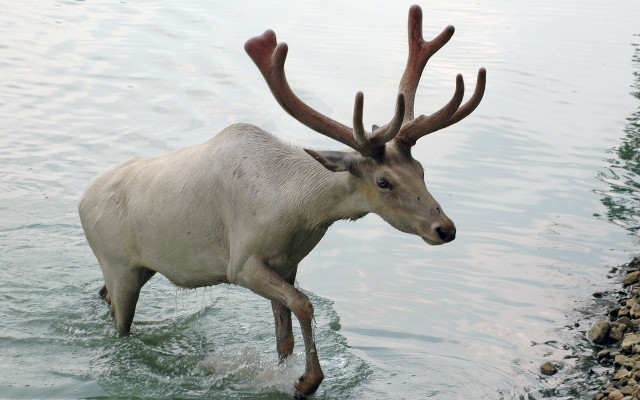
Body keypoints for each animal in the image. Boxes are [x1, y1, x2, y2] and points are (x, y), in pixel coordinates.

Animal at [78, 5, 485, 398]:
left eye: (420, 169)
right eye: (383, 181)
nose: (445, 228)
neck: (297, 212)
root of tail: (81, 201)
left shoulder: (287, 263)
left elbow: (285, 336)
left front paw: (292, 373)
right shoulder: (241, 264)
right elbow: (304, 304)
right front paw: (307, 381)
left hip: (138, 268)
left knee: (105, 294)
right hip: (117, 264)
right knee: (120, 322)